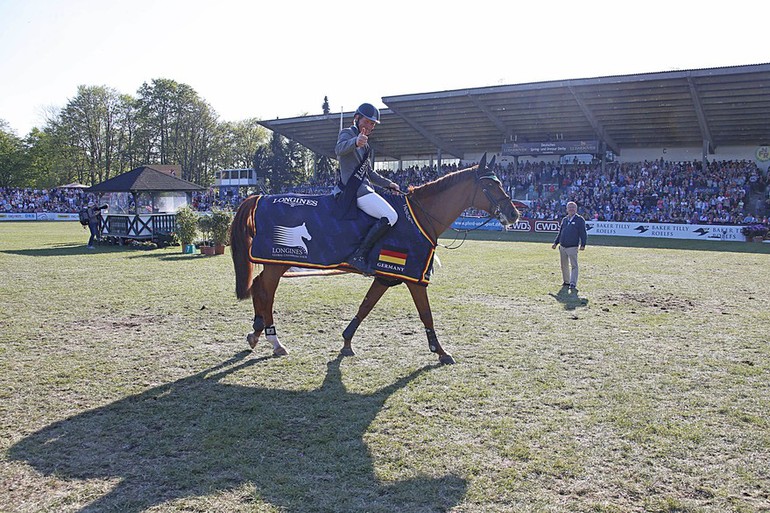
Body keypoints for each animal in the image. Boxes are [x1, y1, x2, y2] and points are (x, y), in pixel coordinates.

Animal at [228, 154, 516, 362]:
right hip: (279, 262)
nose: (514, 214)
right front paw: (441, 351)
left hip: (275, 263)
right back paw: (274, 340)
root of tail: (260, 197)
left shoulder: (386, 276)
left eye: (501, 182)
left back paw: (257, 332)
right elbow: (426, 314)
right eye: (490, 184)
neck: (420, 216)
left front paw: (346, 342)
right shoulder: (413, 278)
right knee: (266, 292)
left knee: (259, 287)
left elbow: (365, 306)